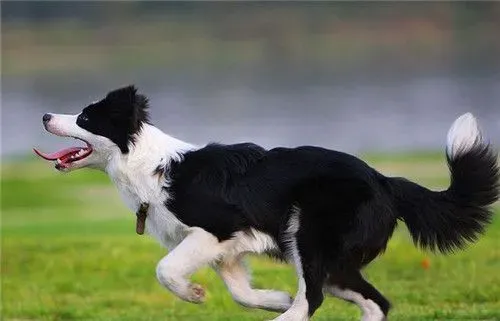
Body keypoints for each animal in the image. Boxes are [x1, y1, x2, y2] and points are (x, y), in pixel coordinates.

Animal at [34, 85, 496, 320]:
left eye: (85, 118)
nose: (44, 116)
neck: (149, 166)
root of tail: (386, 180)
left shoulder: (216, 229)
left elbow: (165, 269)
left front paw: (193, 294)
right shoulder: (226, 251)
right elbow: (241, 293)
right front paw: (272, 298)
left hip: (308, 238)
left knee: (314, 299)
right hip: (330, 260)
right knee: (374, 302)